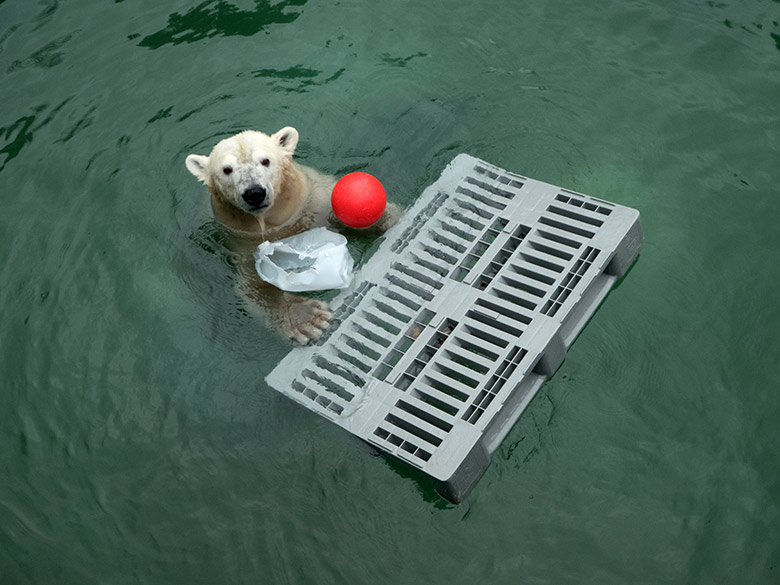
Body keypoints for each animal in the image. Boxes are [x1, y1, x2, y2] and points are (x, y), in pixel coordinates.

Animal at [185, 124, 396, 342]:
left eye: (265, 160)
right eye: (227, 169)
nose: (254, 193)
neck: (280, 224)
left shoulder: (313, 202)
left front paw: (389, 219)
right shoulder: (242, 243)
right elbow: (256, 286)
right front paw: (308, 318)